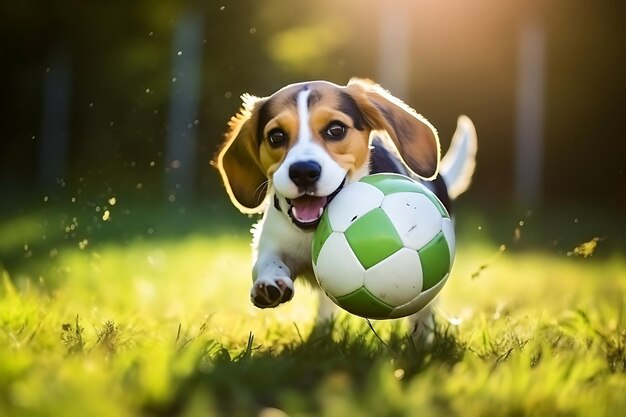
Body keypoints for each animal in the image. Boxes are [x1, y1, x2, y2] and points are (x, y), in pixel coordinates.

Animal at [212, 77, 476, 324]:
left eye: (336, 130)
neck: (311, 232)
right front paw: (270, 283)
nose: (303, 171)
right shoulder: (272, 243)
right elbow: (268, 262)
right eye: (276, 136)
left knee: (424, 315)